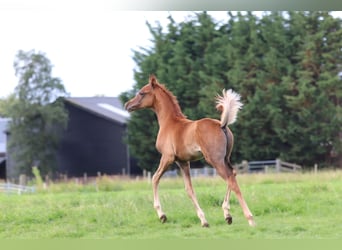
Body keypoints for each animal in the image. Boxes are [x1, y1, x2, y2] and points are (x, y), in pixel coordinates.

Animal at [124, 74, 255, 227]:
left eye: (142, 93)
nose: (127, 105)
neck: (169, 123)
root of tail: (222, 124)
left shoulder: (167, 157)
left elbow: (155, 178)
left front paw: (162, 215)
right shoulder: (183, 162)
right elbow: (189, 189)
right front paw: (203, 220)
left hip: (215, 160)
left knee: (231, 180)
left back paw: (250, 219)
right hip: (225, 159)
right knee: (232, 174)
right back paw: (227, 215)